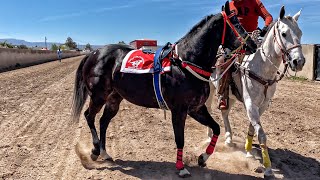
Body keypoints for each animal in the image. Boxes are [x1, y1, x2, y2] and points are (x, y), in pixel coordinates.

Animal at [205, 5, 304, 179]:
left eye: (300, 33)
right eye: (284, 33)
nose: (298, 62)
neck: (261, 67)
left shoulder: (261, 105)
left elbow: (253, 128)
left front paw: (249, 151)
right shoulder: (251, 104)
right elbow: (262, 134)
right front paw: (268, 168)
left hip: (230, 96)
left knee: (225, 113)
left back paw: (229, 139)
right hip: (210, 88)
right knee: (209, 109)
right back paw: (210, 136)